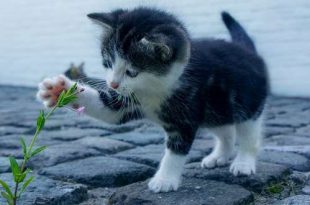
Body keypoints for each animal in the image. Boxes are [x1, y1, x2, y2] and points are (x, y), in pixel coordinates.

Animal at [37, 7, 268, 192]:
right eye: (108, 63)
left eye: (132, 72)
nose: (112, 84)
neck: (155, 88)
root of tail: (248, 51)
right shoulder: (127, 101)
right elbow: (108, 109)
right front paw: (60, 89)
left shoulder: (186, 112)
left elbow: (176, 149)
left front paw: (164, 180)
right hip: (216, 110)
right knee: (226, 130)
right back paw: (219, 156)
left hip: (248, 104)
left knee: (248, 134)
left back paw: (243, 163)